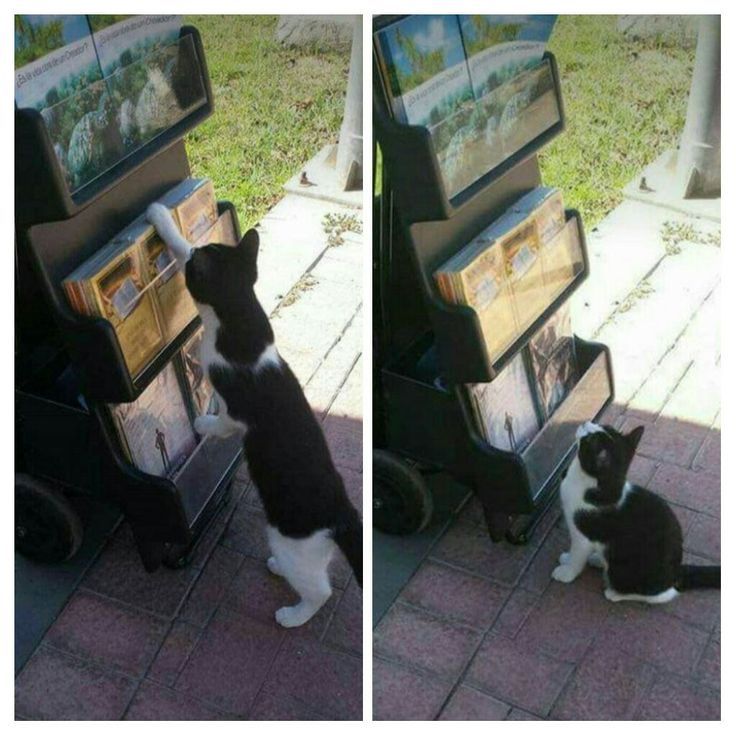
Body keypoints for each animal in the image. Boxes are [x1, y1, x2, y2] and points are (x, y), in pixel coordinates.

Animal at [147, 203, 362, 628]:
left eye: (198, 263)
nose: (201, 251)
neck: (240, 313)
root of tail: (341, 514)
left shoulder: (236, 411)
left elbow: (222, 422)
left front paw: (202, 423)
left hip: (291, 540)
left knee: (320, 590)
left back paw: (291, 615)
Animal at [552, 420, 720, 604]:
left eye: (589, 440)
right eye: (605, 425)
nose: (587, 422)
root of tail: (677, 572)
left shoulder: (584, 535)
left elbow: (577, 555)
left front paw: (566, 572)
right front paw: (567, 558)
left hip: (623, 571)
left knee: (662, 594)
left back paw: (614, 593)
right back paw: (597, 559)